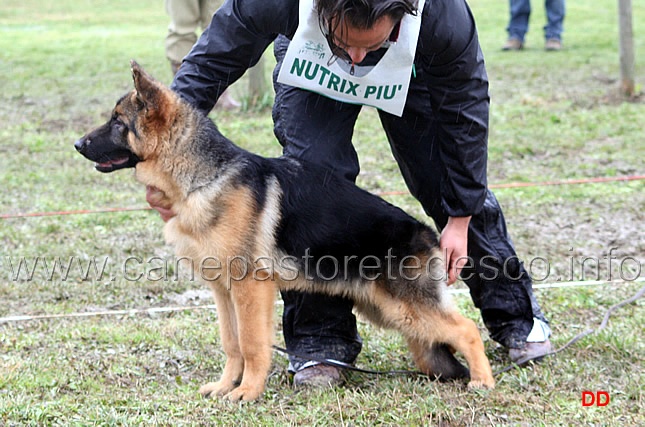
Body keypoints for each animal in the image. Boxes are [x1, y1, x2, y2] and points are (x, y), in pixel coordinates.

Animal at [74, 61, 494, 402]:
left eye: (117, 122)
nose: (77, 144)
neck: (202, 176)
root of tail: (428, 235)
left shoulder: (250, 288)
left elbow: (253, 344)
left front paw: (247, 392)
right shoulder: (223, 291)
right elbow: (232, 343)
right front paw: (226, 386)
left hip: (404, 307)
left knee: (467, 329)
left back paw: (483, 381)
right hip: (386, 310)